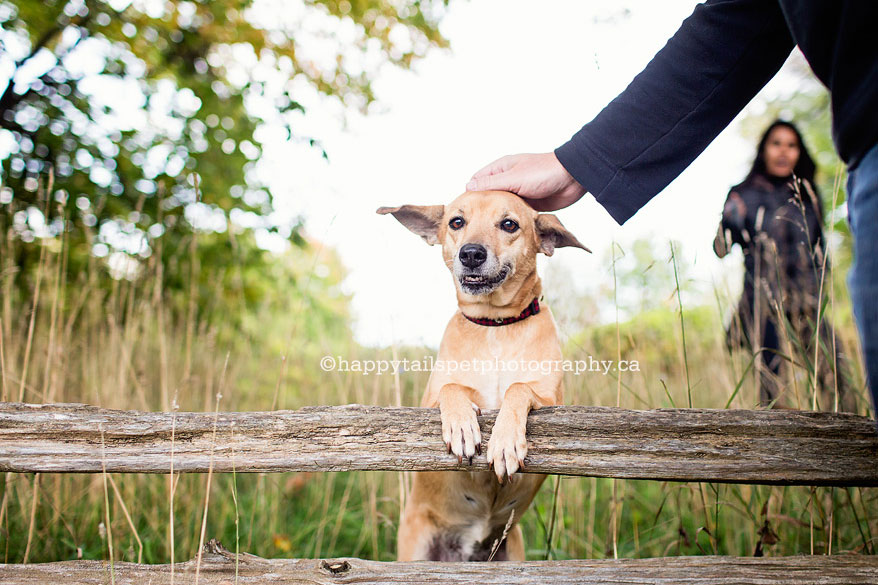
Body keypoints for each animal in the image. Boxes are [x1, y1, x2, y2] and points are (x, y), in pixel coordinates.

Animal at [378, 189, 592, 560]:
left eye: (509, 224)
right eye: (456, 221)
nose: (472, 254)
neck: (495, 326)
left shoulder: (554, 401)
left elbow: (518, 387)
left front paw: (505, 442)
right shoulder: (427, 402)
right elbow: (452, 388)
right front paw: (462, 427)